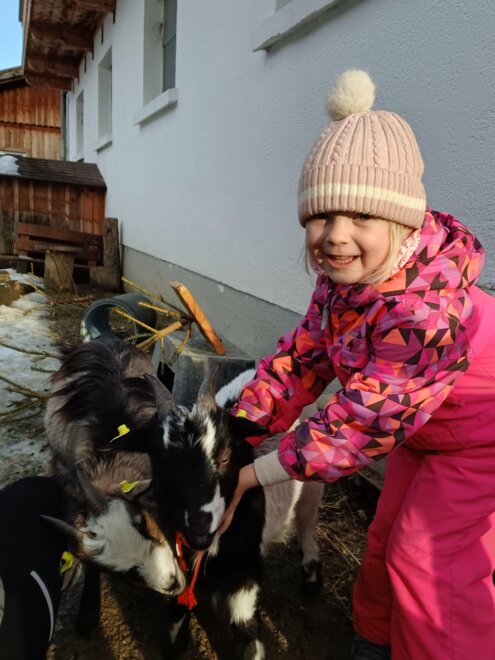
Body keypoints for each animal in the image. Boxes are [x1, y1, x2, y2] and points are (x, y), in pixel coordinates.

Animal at [144, 368, 324, 659]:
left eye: (226, 457)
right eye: (161, 464)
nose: (199, 526)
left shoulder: (245, 571)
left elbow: (246, 631)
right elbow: (178, 605)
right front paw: (174, 643)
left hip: (312, 484)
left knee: (307, 523)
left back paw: (312, 579)